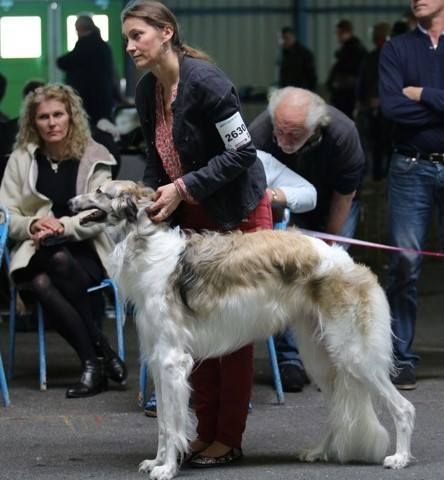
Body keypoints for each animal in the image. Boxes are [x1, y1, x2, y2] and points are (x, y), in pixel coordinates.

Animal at [70, 179, 416, 480]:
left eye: (100, 191)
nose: (70, 202)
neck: (145, 247)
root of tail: (352, 264)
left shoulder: (171, 360)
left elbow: (172, 424)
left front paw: (167, 469)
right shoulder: (157, 359)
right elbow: (164, 424)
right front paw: (156, 462)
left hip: (355, 355)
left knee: (403, 408)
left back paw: (399, 458)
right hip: (322, 357)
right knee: (337, 412)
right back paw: (318, 451)